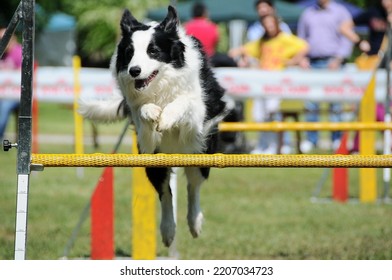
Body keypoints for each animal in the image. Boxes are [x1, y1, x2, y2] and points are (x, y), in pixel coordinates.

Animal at [79, 6, 233, 247]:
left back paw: (194, 223)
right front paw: (152, 112)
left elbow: (184, 101)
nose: (134, 71)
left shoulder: (198, 116)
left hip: (201, 153)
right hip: (154, 162)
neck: (160, 86)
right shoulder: (146, 139)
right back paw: (168, 231)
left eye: (153, 51)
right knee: (166, 193)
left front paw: (168, 116)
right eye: (130, 52)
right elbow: (143, 111)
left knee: (193, 186)